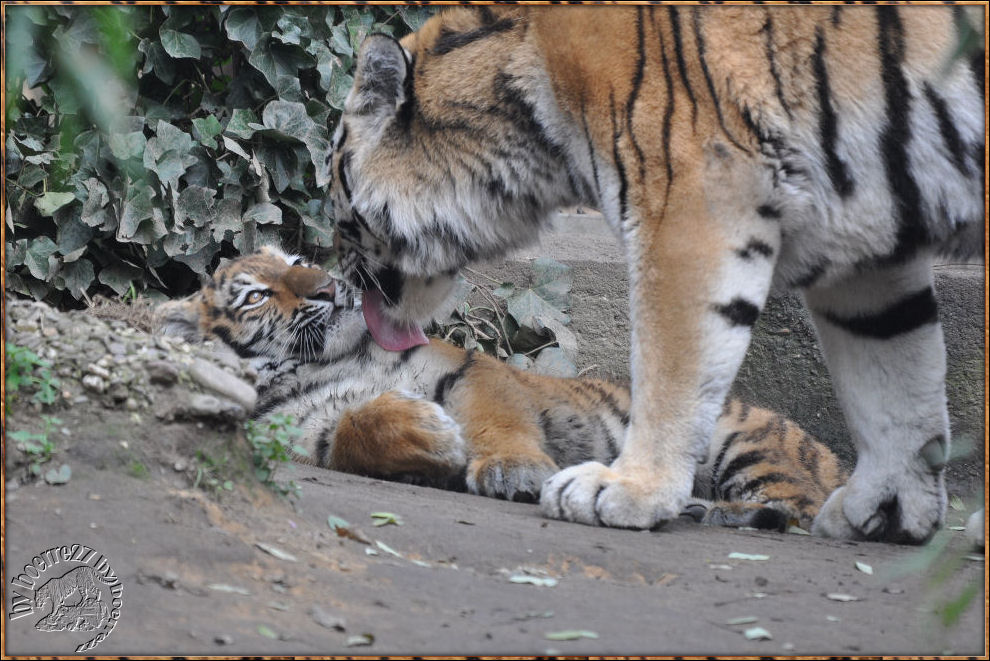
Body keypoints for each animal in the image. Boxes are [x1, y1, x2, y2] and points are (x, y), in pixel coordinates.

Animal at [326, 5, 984, 540]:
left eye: (337, 202)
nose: (345, 283)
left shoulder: (690, 205)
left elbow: (670, 368)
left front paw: (627, 489)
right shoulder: (866, 245)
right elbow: (894, 380)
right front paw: (888, 511)